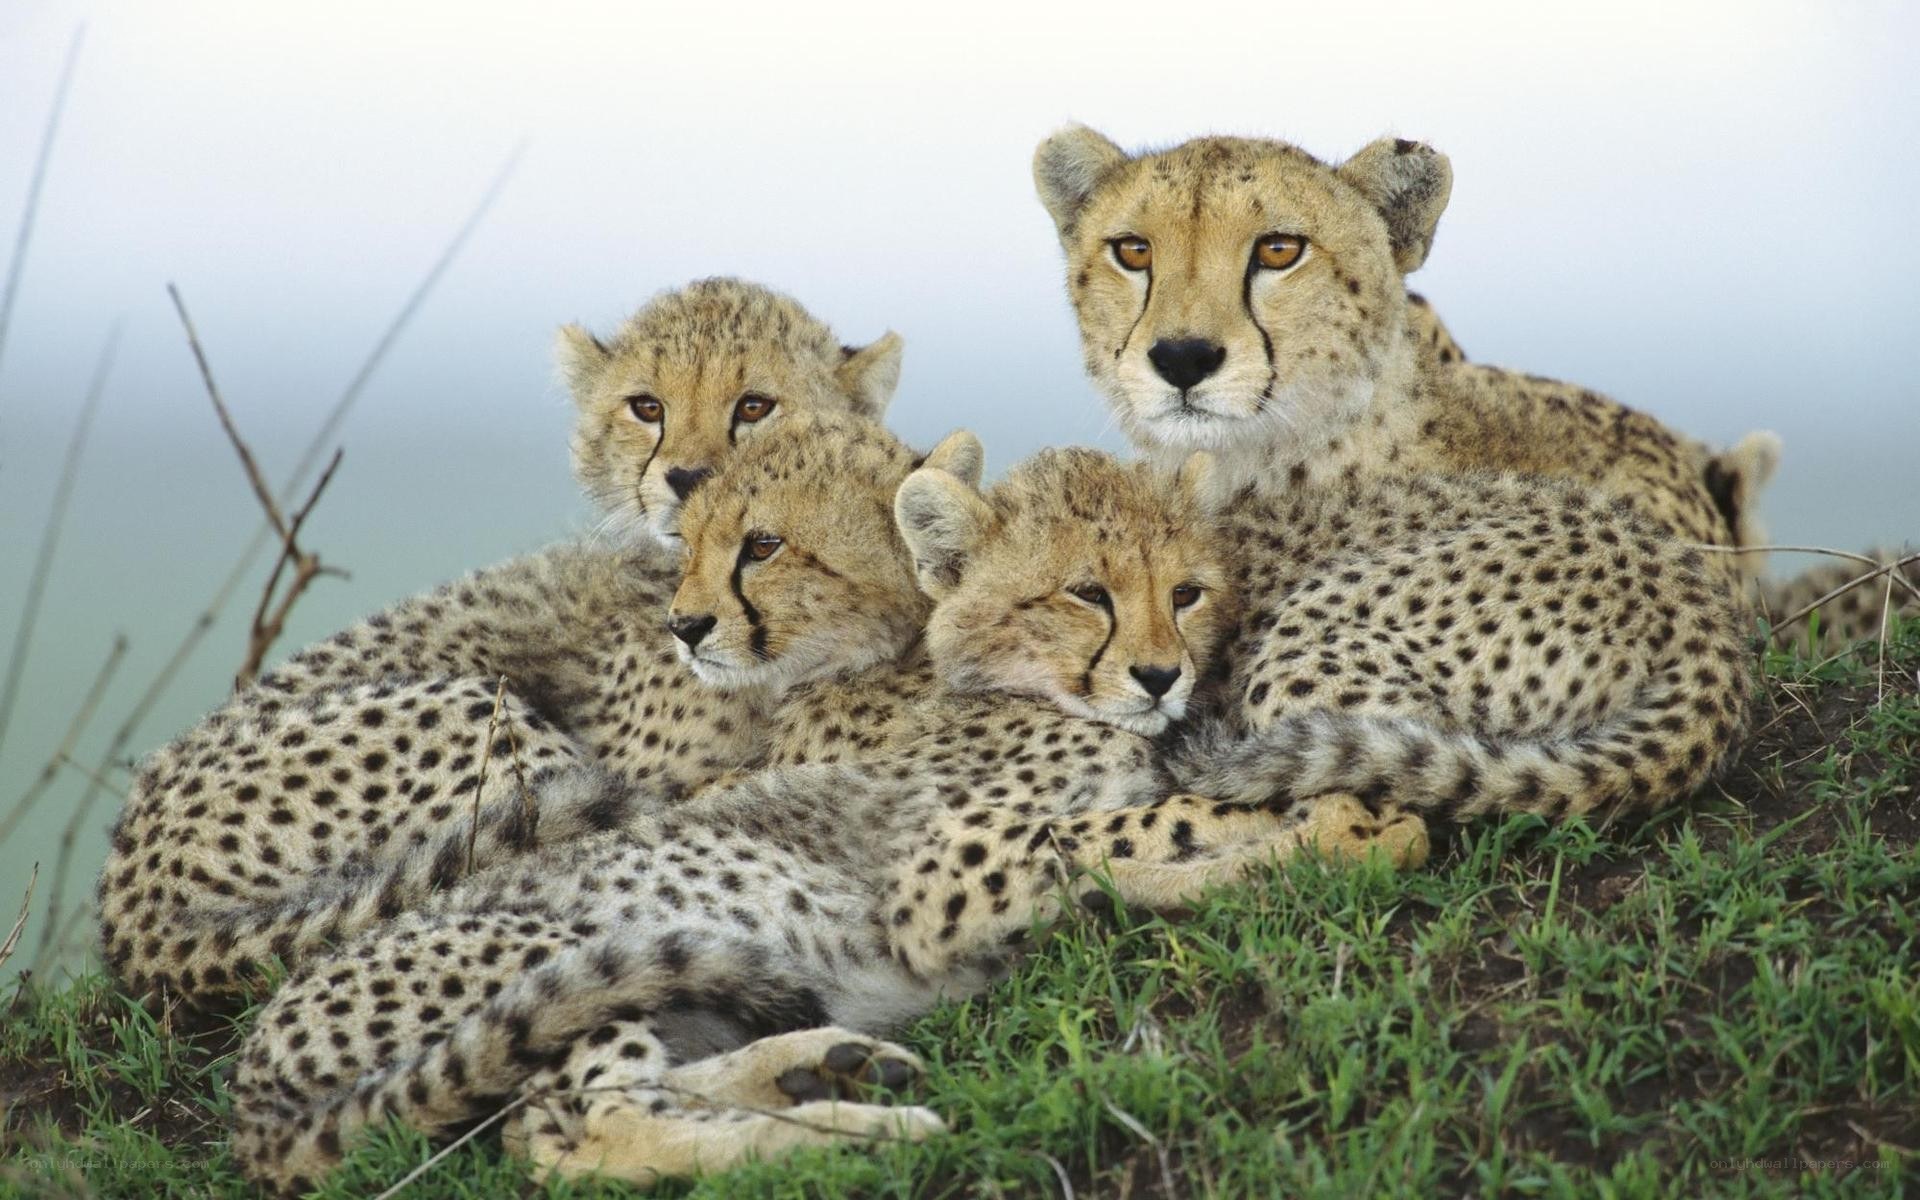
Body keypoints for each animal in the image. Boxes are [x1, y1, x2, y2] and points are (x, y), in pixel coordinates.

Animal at [229, 427, 1429, 1194]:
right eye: (1087, 593)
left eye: (1186, 591)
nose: (1162, 676)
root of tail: (253, 1066)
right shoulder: (941, 886)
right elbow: (1139, 827)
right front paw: (1344, 826)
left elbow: (1142, 833)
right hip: (562, 954)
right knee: (598, 1135)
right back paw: (864, 1135)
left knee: (598, 1113)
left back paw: (825, 1068)